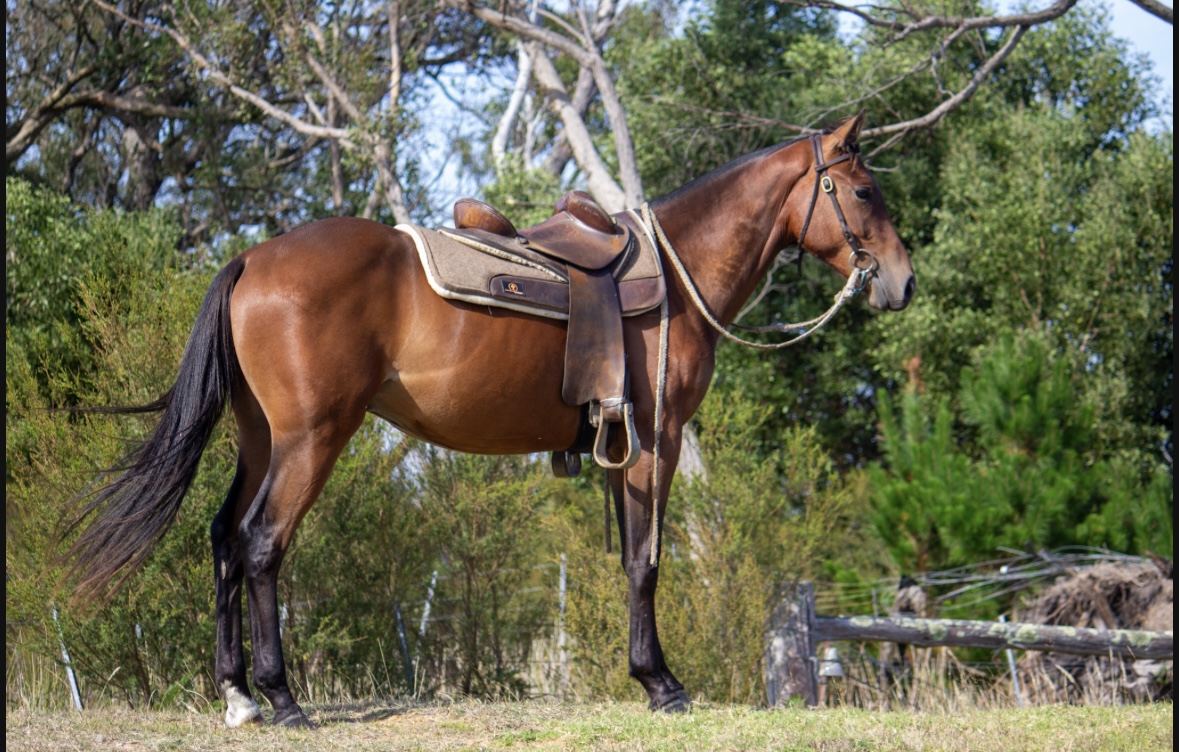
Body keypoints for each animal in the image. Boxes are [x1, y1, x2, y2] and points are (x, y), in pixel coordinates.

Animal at [66, 113, 914, 727]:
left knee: (221, 541)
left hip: (260, 437)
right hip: (312, 439)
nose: (901, 282)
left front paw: (647, 677)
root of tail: (254, 259)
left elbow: (628, 560)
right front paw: (662, 684)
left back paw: (238, 695)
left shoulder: (623, 448)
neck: (675, 275)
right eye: (862, 192)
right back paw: (281, 698)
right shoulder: (655, 443)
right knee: (261, 544)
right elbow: (646, 562)